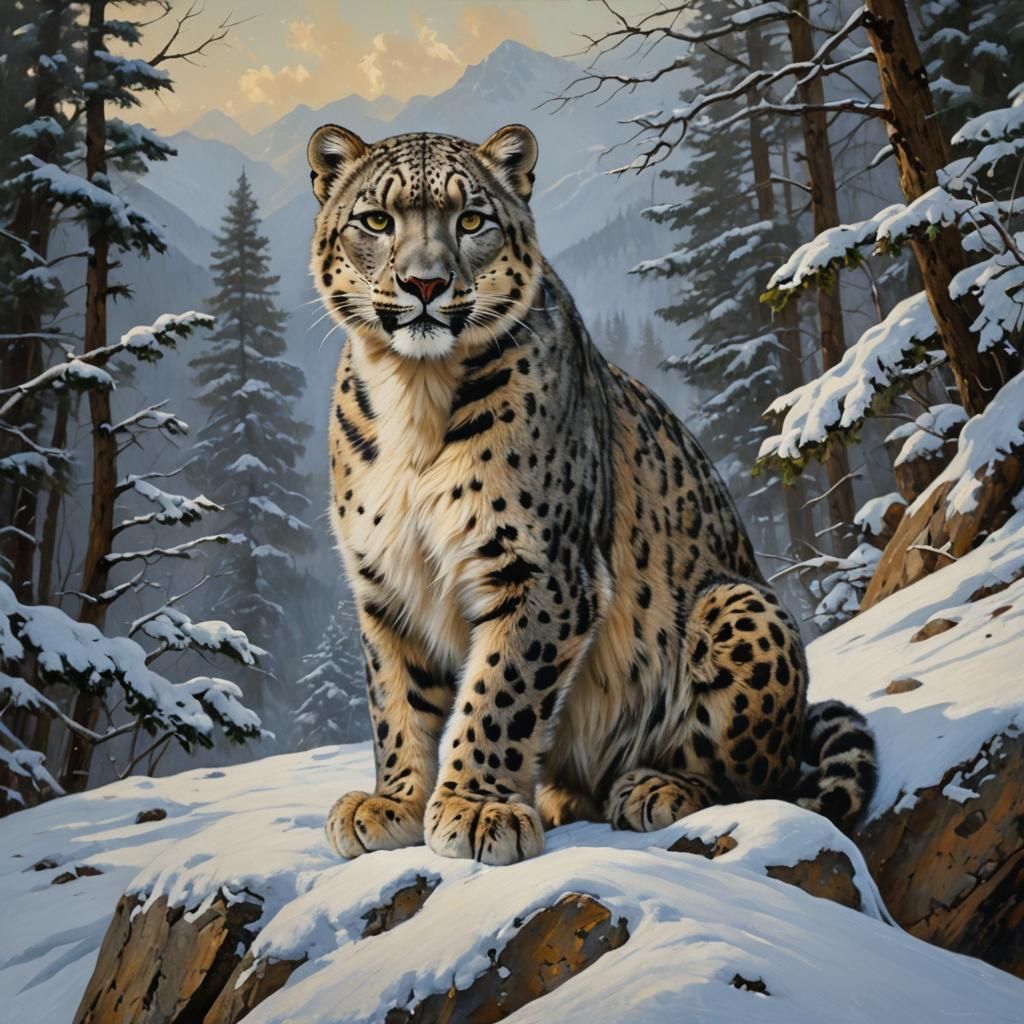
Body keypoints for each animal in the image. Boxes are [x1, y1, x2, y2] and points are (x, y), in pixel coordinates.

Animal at [307, 122, 877, 866]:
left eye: (471, 220)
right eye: (376, 221)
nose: (424, 282)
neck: (415, 392)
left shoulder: (542, 568)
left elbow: (498, 692)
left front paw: (475, 807)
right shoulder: (387, 580)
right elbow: (397, 699)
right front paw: (395, 801)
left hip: (740, 606)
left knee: (758, 778)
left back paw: (653, 787)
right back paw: (561, 796)